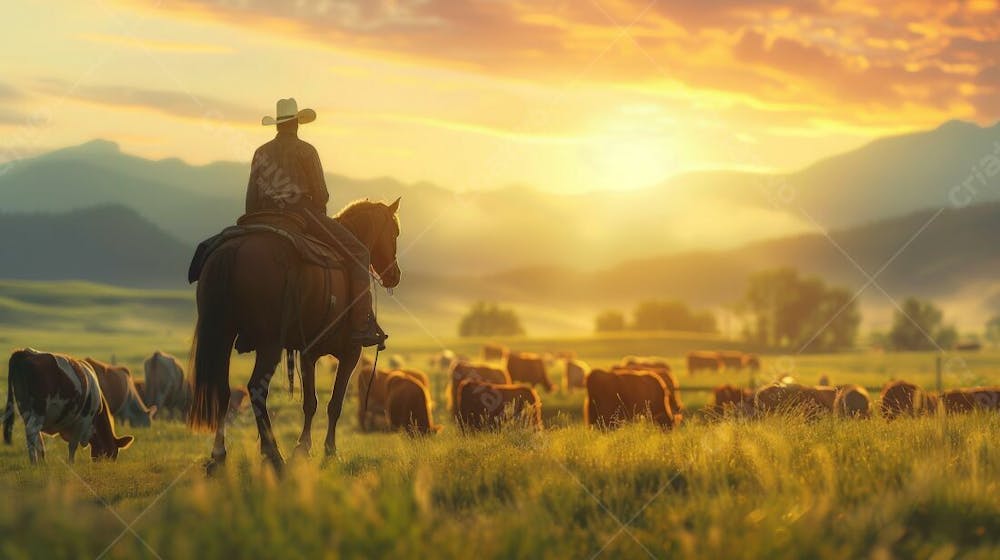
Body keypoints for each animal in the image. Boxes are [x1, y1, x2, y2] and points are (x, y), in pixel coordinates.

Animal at [3, 350, 135, 464]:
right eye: (112, 454)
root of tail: (25, 353)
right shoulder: (82, 421)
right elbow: (73, 445)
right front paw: (71, 463)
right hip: (39, 409)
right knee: (31, 431)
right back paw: (34, 463)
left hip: (25, 408)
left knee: (35, 436)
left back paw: (40, 462)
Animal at [189, 199, 400, 470]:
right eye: (394, 233)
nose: (395, 275)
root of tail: (235, 248)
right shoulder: (350, 353)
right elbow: (335, 404)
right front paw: (330, 450)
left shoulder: (309, 352)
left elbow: (310, 402)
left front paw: (303, 447)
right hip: (269, 344)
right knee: (256, 388)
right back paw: (272, 454)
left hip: (223, 335)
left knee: (222, 390)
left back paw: (219, 456)